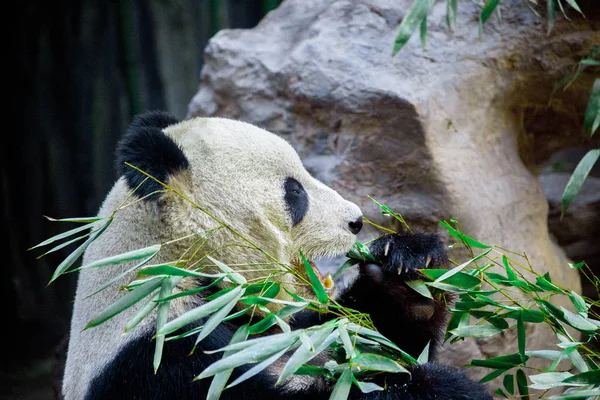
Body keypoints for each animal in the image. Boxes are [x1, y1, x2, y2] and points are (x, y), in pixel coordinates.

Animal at [62, 111, 492, 400]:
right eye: (294, 192)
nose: (355, 220)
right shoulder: (162, 360)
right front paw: (441, 386)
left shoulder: (280, 323)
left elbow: (372, 337)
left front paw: (407, 269)